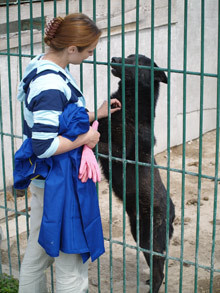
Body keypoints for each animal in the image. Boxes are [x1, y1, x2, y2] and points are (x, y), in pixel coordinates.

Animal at [98, 53, 175, 290]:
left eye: (137, 61)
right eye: (128, 55)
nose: (114, 58)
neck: (130, 107)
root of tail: (172, 212)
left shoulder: (118, 150)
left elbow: (98, 142)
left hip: (150, 237)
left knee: (160, 270)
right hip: (138, 233)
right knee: (158, 266)